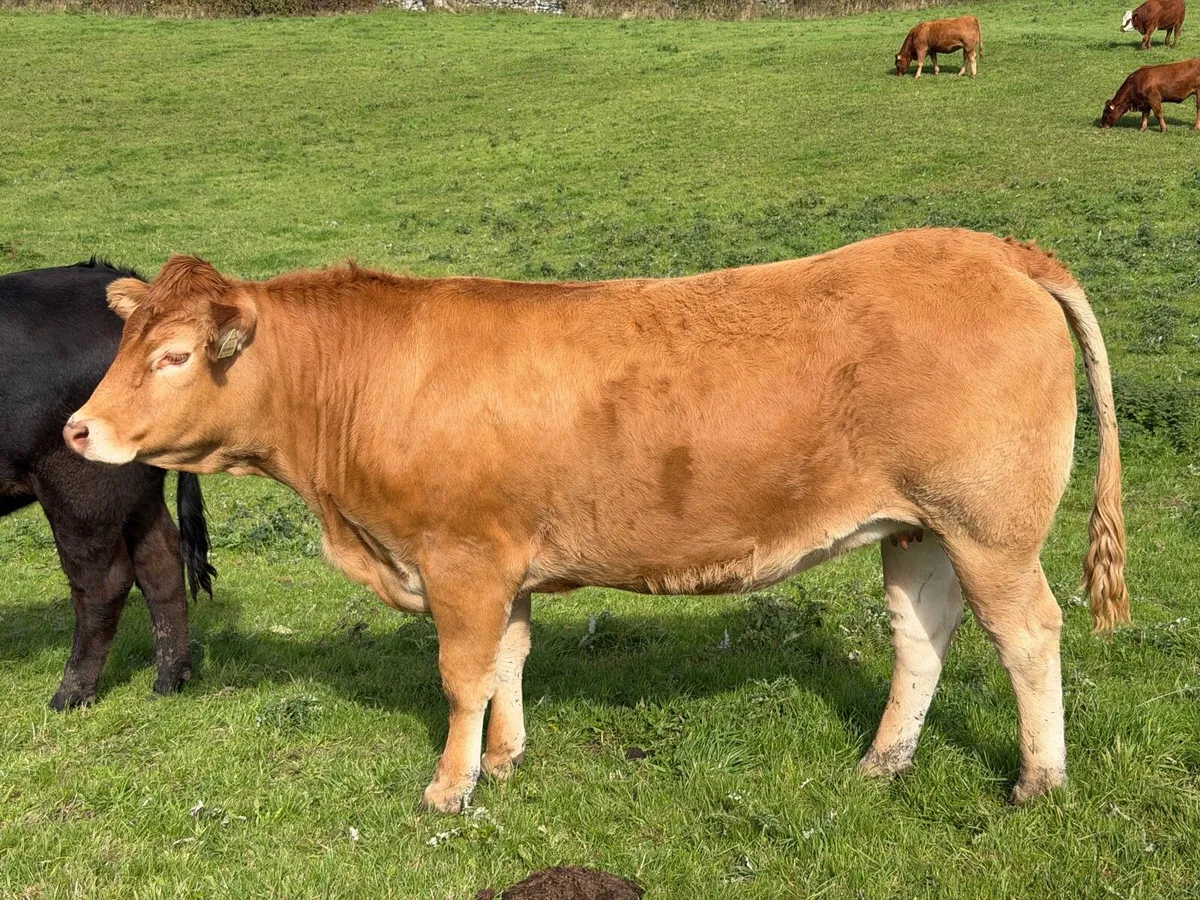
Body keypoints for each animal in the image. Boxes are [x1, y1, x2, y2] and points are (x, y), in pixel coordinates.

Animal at [1, 260, 215, 710]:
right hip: (135, 492)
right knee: (161, 562)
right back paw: (170, 679)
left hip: (79, 488)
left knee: (103, 582)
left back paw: (71, 693)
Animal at [64, 228, 1128, 814]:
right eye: (121, 340)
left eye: (171, 355)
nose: (78, 428)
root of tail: (992, 248)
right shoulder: (504, 565)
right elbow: (508, 661)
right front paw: (505, 759)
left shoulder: (460, 559)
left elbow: (462, 675)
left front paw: (450, 787)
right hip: (918, 529)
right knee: (922, 637)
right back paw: (882, 762)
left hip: (991, 529)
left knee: (1029, 634)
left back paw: (1039, 782)